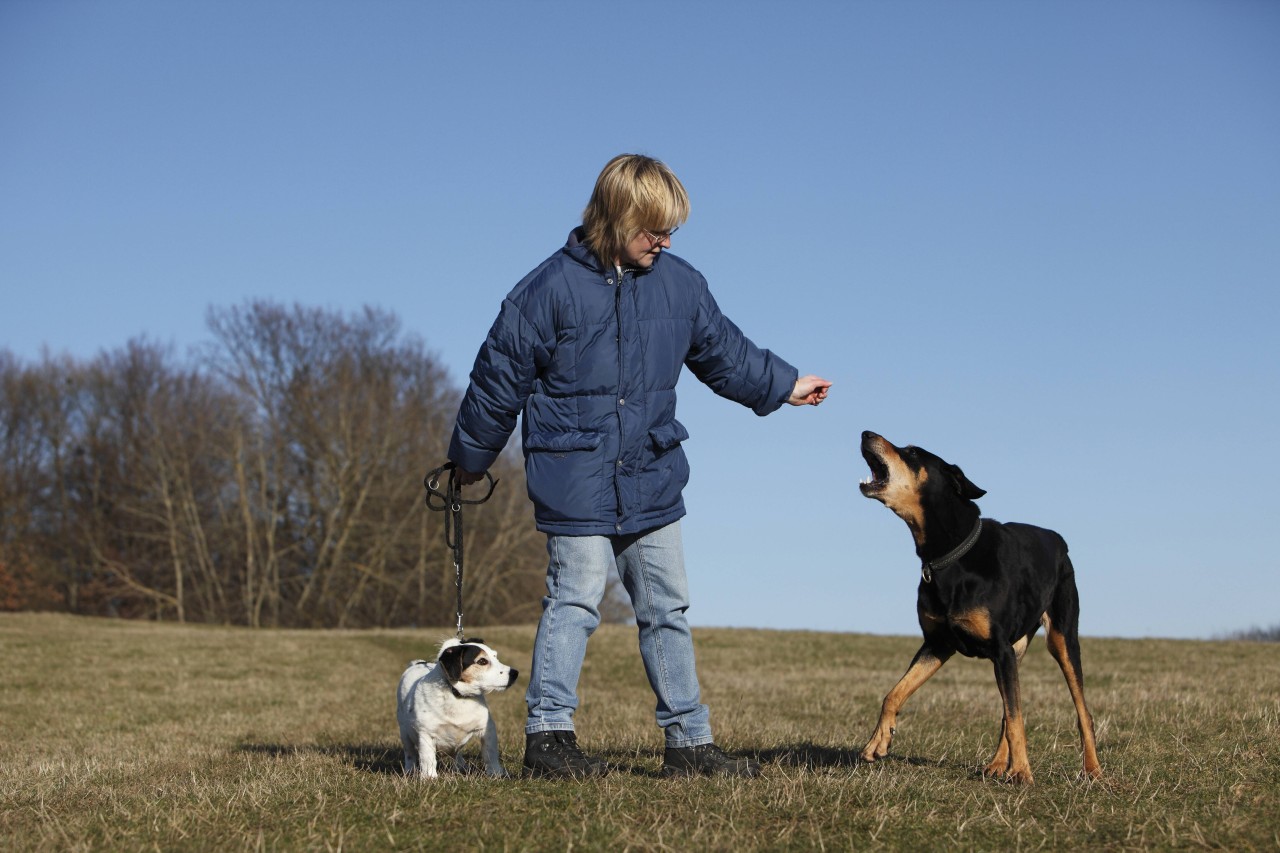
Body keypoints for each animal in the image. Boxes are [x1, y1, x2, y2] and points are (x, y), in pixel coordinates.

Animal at [391, 635, 517, 773]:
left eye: (495, 656)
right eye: (482, 661)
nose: (515, 673)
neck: (457, 695)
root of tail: (418, 663)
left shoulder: (487, 729)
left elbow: (490, 753)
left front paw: (496, 772)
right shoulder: (426, 734)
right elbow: (427, 758)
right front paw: (429, 776)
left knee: (458, 754)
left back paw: (461, 766)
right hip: (404, 733)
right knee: (410, 754)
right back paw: (410, 771)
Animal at [860, 427, 1100, 778]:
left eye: (913, 452)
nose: (866, 433)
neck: (948, 555)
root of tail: (1059, 540)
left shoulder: (999, 649)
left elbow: (1016, 718)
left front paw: (1023, 772)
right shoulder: (938, 643)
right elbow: (894, 693)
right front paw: (878, 742)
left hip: (1061, 637)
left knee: (1082, 712)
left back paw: (1092, 770)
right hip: (1016, 649)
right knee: (1007, 711)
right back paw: (998, 764)